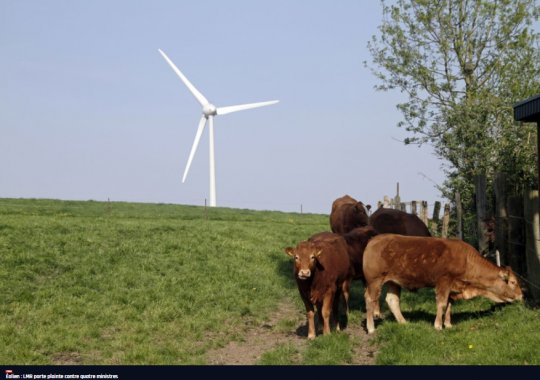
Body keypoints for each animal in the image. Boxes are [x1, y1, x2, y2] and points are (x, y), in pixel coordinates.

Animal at [362, 235, 524, 332]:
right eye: (513, 282)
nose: (521, 296)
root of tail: (375, 239)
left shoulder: (453, 287)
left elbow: (449, 305)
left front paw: (448, 324)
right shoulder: (444, 281)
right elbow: (442, 303)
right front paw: (438, 325)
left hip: (393, 281)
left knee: (392, 300)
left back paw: (403, 322)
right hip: (375, 281)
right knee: (370, 299)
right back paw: (371, 328)